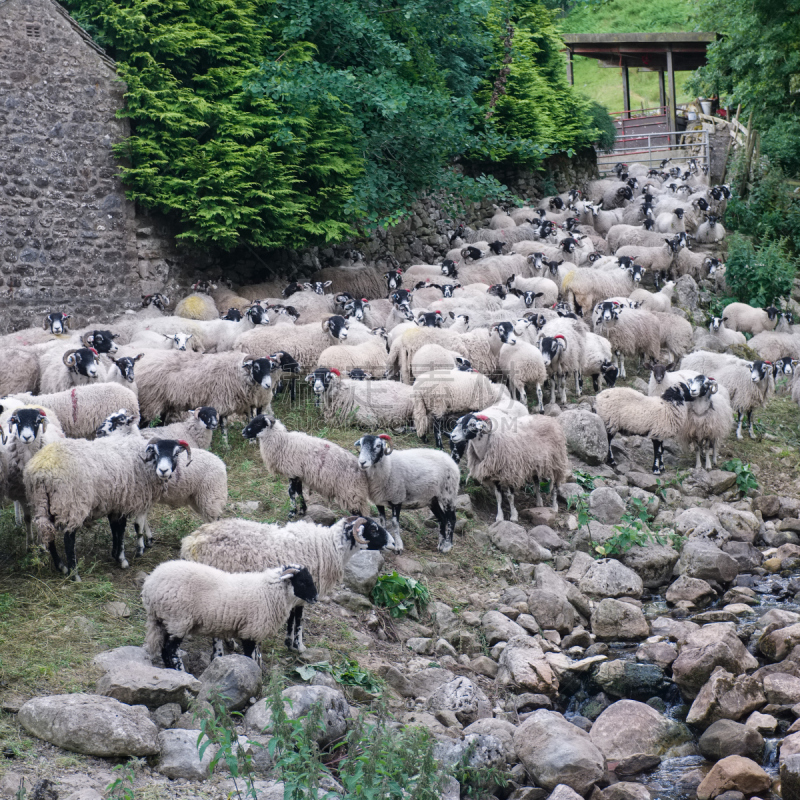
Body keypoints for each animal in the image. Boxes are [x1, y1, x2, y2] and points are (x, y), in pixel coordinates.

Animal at [142, 560, 318, 672]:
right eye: (302, 582)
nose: (316, 598)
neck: (269, 591)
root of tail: (150, 585)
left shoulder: (255, 631)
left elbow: (256, 656)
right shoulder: (250, 631)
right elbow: (250, 657)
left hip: (163, 621)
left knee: (163, 650)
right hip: (178, 620)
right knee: (169, 650)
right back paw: (180, 671)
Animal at [180, 516, 396, 652]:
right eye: (374, 529)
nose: (395, 544)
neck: (329, 547)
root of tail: (190, 543)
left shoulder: (293, 590)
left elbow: (292, 617)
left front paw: (288, 641)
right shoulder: (305, 590)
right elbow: (299, 618)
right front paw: (298, 646)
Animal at [242, 412, 370, 520]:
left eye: (258, 423)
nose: (243, 432)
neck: (283, 442)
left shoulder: (292, 471)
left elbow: (291, 493)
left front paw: (292, 513)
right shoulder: (298, 474)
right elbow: (299, 492)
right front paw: (302, 510)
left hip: (351, 493)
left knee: (359, 514)